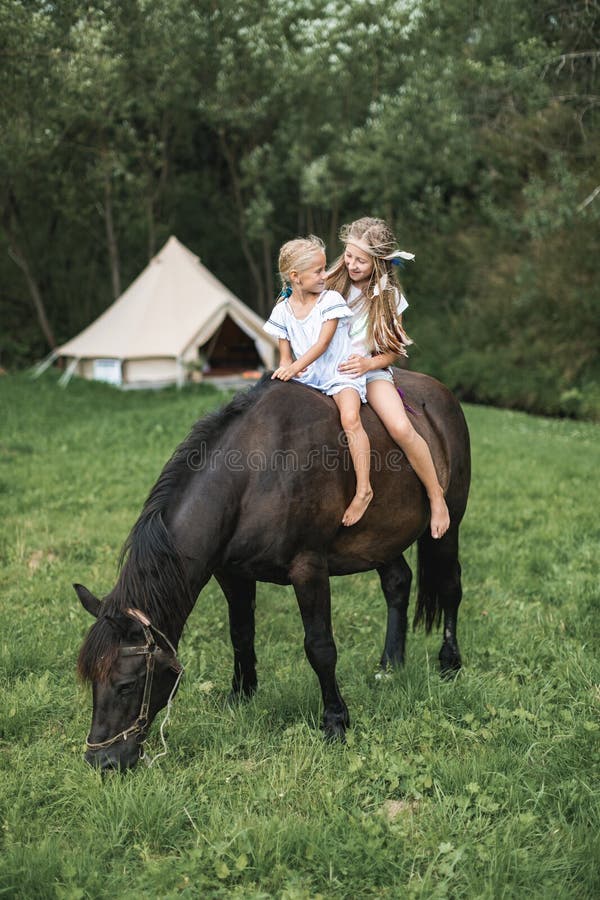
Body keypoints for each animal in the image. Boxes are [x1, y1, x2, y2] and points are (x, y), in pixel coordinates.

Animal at [76, 370, 468, 768]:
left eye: (126, 684)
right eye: (91, 679)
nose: (101, 761)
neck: (254, 476)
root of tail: (439, 391)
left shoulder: (309, 568)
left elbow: (320, 647)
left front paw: (335, 721)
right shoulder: (231, 573)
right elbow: (240, 634)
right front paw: (241, 695)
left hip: (447, 525)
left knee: (451, 587)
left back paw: (450, 663)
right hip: (382, 539)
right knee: (397, 584)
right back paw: (390, 665)